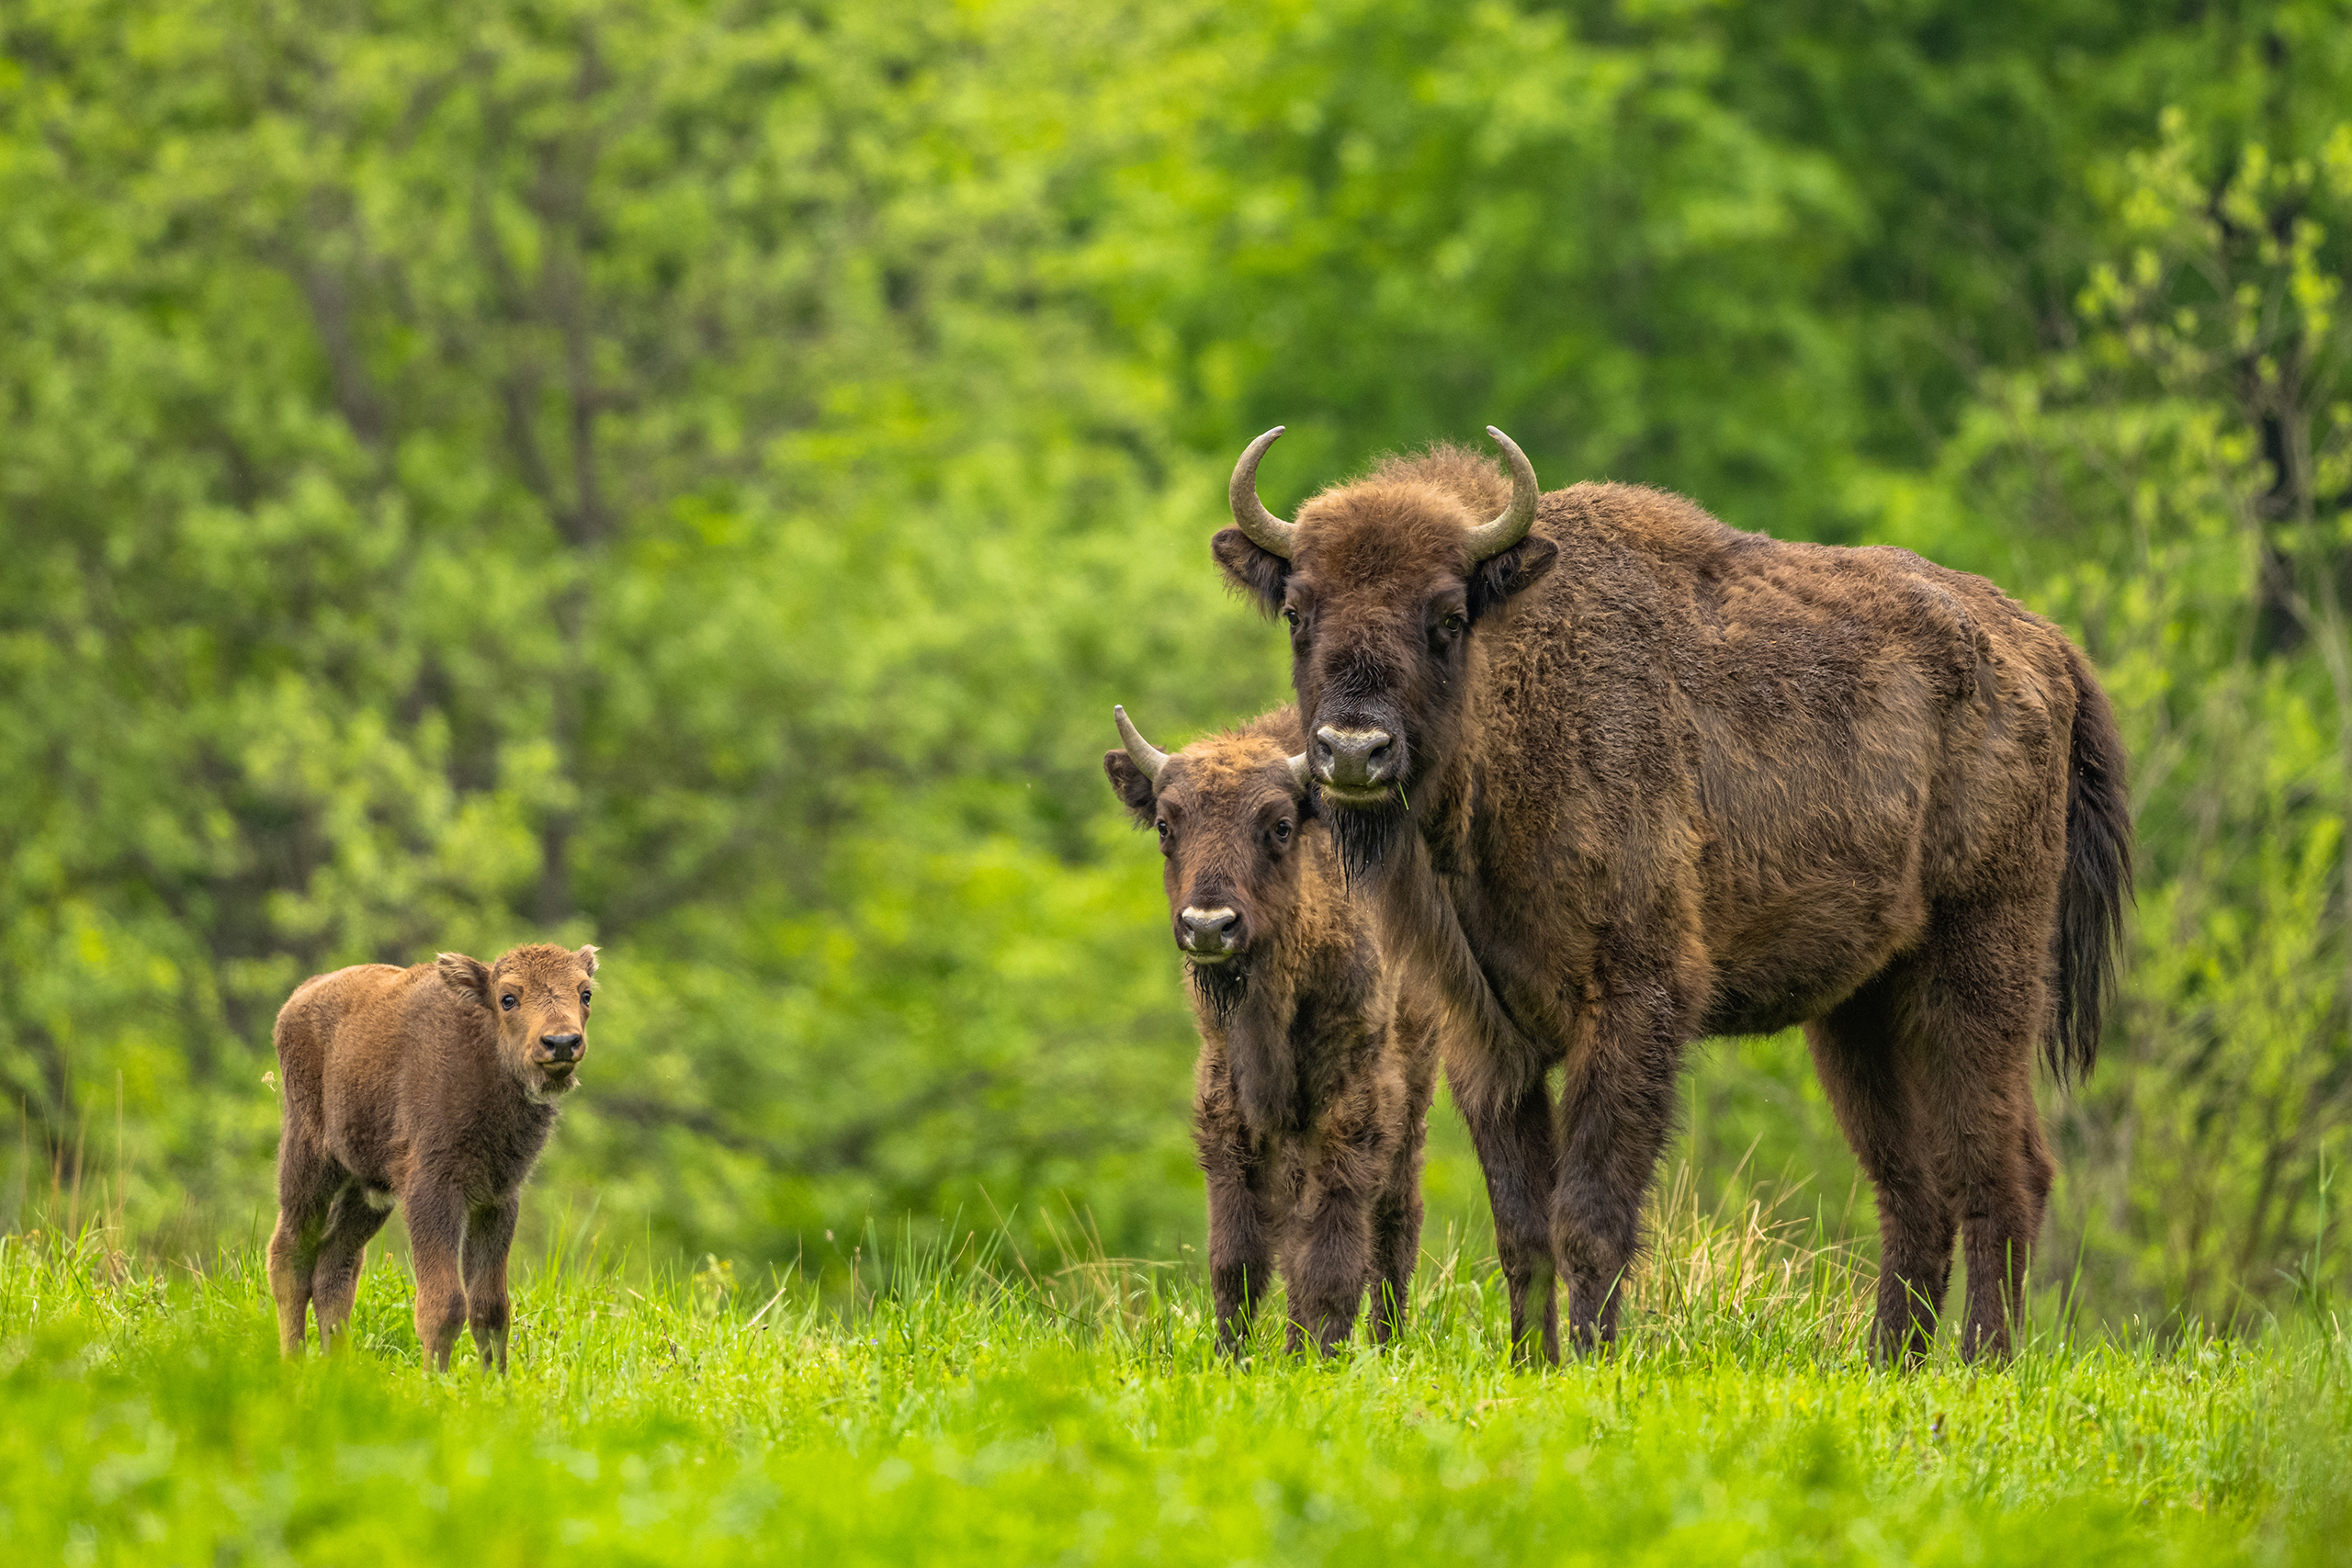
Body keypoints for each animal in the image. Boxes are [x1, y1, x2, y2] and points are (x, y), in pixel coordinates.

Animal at [1106, 704, 1438, 1355]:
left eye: (1281, 827)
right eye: (1164, 825)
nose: (1210, 926)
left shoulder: (1354, 1100)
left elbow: (1330, 1252)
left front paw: (1318, 1353)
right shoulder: (1228, 1102)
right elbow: (1238, 1255)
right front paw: (1231, 1355)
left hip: (1416, 1082)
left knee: (1395, 1218)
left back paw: (1385, 1341)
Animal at [1212, 429, 2130, 1364]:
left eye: (1447, 615)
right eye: (1298, 611)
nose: (1352, 749)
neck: (1518, 693)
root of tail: (2042, 647)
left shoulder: (1633, 1001)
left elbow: (1590, 1216)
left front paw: (1591, 1360)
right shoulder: (1486, 1036)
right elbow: (1523, 1229)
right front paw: (1532, 1361)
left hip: (1980, 968)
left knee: (2003, 1171)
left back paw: (1980, 1363)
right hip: (1859, 1013)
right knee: (1913, 1188)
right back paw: (1890, 1366)